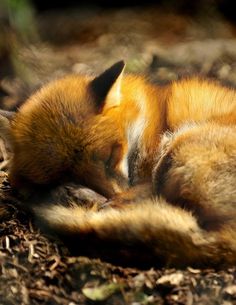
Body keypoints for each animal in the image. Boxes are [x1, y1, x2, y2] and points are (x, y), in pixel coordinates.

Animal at [0, 60, 236, 266]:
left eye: (109, 157)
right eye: (66, 174)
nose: (114, 196)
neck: (151, 123)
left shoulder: (148, 175)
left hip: (177, 149)